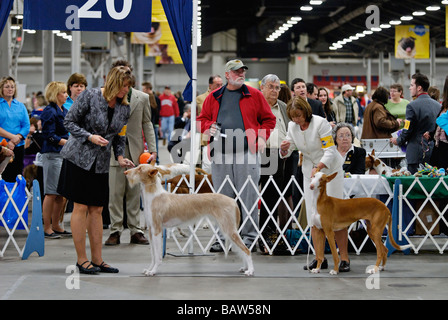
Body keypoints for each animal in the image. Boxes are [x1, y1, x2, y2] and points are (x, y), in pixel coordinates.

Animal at [124, 164, 254, 276]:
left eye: (140, 169)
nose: (125, 172)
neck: (154, 195)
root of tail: (233, 201)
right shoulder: (151, 231)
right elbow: (153, 255)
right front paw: (149, 269)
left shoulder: (157, 230)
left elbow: (157, 255)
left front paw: (154, 271)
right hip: (228, 229)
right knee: (241, 249)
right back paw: (245, 267)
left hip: (229, 229)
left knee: (246, 250)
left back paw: (250, 270)